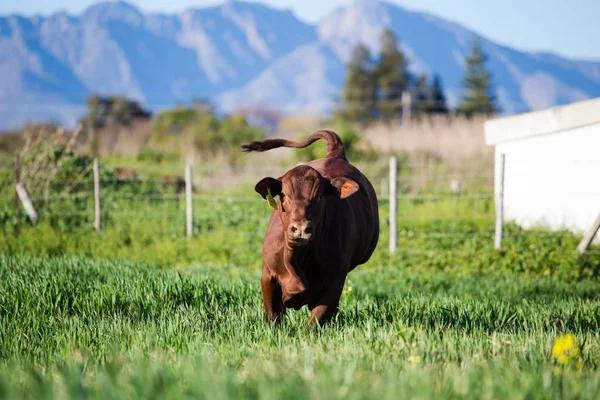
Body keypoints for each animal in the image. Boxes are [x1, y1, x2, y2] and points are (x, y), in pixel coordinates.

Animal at [240, 131, 378, 324]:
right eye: (283, 195)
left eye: (319, 196)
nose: (300, 228)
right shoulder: (268, 276)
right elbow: (273, 316)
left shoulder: (334, 282)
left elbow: (316, 320)